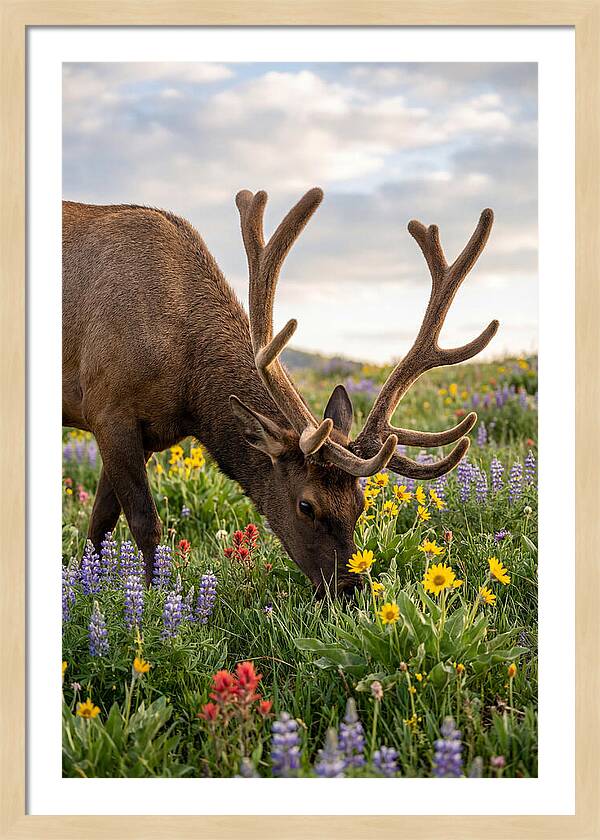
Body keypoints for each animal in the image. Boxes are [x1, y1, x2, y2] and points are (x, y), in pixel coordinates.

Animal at [62, 187, 498, 593]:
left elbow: (100, 525)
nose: (351, 589)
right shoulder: (108, 408)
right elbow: (143, 523)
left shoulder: (147, 433)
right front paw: (153, 598)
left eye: (360, 503)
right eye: (306, 505)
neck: (189, 389)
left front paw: (89, 586)